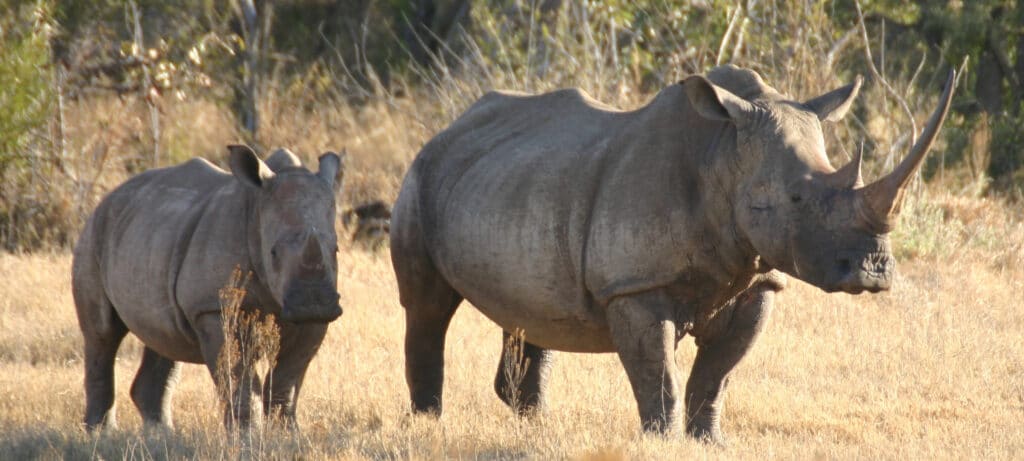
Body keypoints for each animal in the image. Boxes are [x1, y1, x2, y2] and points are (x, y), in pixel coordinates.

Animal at [73, 145, 344, 432]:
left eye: (336, 250)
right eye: (273, 253)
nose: (314, 304)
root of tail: (108, 197)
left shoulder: (312, 322)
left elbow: (287, 380)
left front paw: (287, 433)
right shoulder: (212, 308)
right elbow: (238, 378)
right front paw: (246, 434)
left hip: (151, 234)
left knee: (163, 338)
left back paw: (162, 434)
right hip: (95, 233)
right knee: (102, 334)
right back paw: (102, 433)